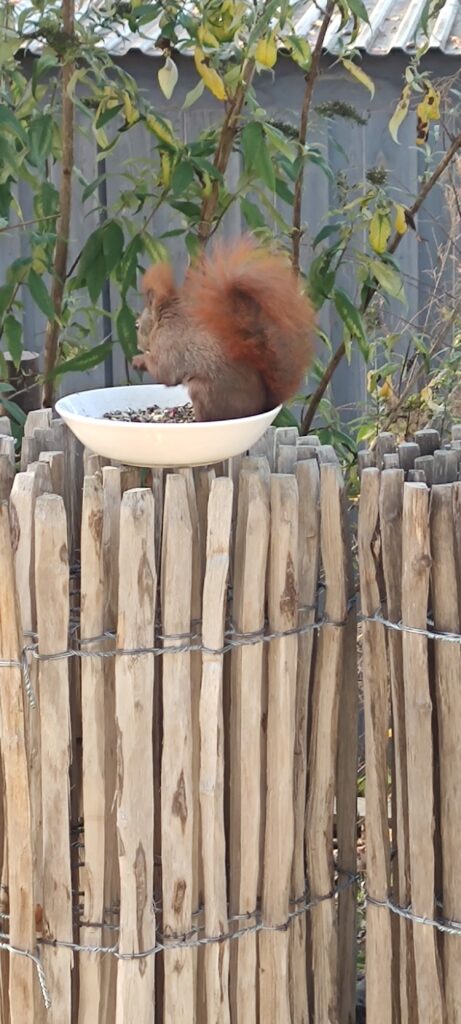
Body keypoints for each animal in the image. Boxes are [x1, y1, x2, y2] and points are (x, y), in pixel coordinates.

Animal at [133, 235, 314, 422]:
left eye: (137, 326)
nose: (138, 346)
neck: (164, 321)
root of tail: (260, 406)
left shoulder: (168, 344)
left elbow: (164, 372)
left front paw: (139, 360)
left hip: (203, 391)